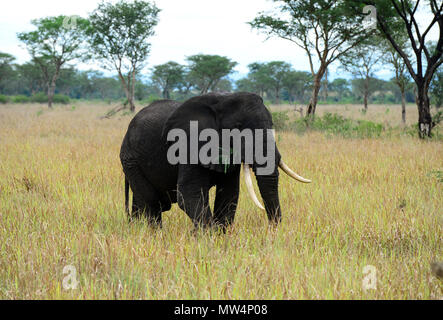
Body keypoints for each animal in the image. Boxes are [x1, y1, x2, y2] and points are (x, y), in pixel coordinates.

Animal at [119, 92, 310, 230]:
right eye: (238, 128)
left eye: (272, 125)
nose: (272, 229)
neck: (222, 100)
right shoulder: (190, 144)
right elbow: (189, 192)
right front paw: (207, 239)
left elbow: (229, 193)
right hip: (130, 159)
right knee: (152, 202)